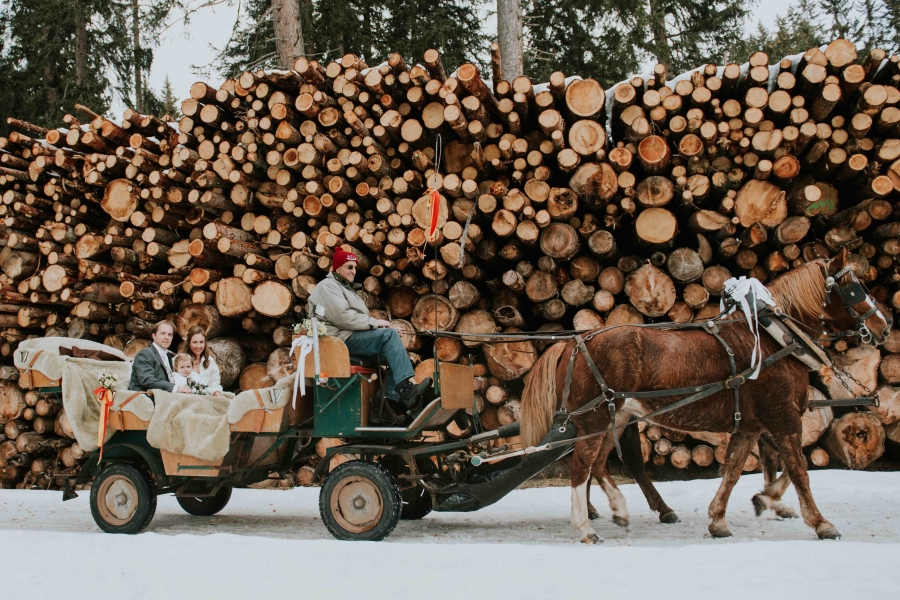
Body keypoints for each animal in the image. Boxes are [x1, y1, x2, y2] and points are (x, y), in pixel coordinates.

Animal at [520, 248, 892, 544]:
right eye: (855, 288)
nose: (885, 326)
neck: (773, 339)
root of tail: (576, 342)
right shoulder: (782, 417)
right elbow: (799, 469)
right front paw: (820, 523)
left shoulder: (752, 424)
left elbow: (738, 469)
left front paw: (728, 516)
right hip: (596, 418)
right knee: (582, 465)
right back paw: (586, 526)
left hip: (617, 416)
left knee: (599, 463)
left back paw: (623, 509)